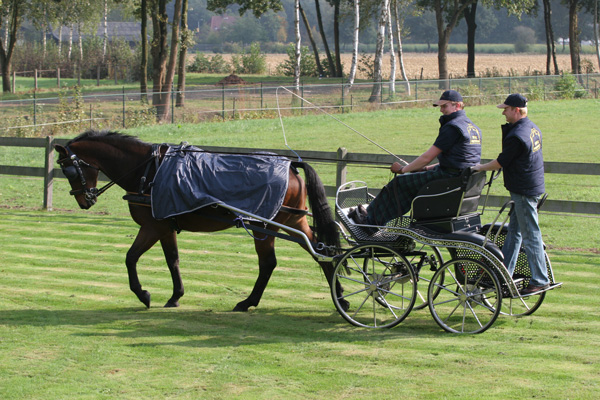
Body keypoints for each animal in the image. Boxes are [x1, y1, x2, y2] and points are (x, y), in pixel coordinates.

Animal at [56, 130, 346, 310]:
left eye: (68, 170)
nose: (84, 201)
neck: (150, 170)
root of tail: (291, 166)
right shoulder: (166, 227)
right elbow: (172, 260)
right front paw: (175, 296)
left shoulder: (153, 226)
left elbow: (130, 258)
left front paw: (143, 294)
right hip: (293, 222)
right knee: (321, 250)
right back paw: (341, 296)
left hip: (264, 226)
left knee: (269, 263)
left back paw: (248, 302)